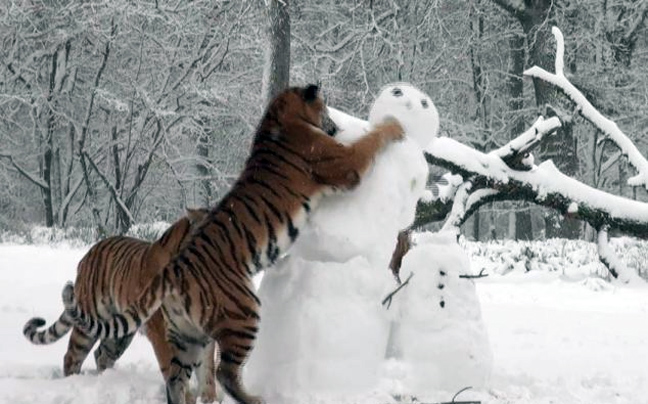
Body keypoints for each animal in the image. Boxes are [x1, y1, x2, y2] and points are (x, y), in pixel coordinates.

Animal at [22, 208, 220, 404]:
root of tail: (87, 255)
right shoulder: (163, 332)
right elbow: (175, 372)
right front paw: (187, 398)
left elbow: (207, 373)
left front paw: (209, 399)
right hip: (89, 324)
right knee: (71, 357)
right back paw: (73, 384)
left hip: (119, 335)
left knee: (101, 354)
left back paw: (107, 380)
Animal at [60, 83, 404, 404]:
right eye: (326, 108)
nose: (336, 126)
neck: (278, 115)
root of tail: (174, 267)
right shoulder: (345, 163)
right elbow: (372, 141)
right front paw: (395, 125)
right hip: (244, 311)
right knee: (225, 371)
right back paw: (255, 399)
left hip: (186, 335)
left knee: (177, 378)